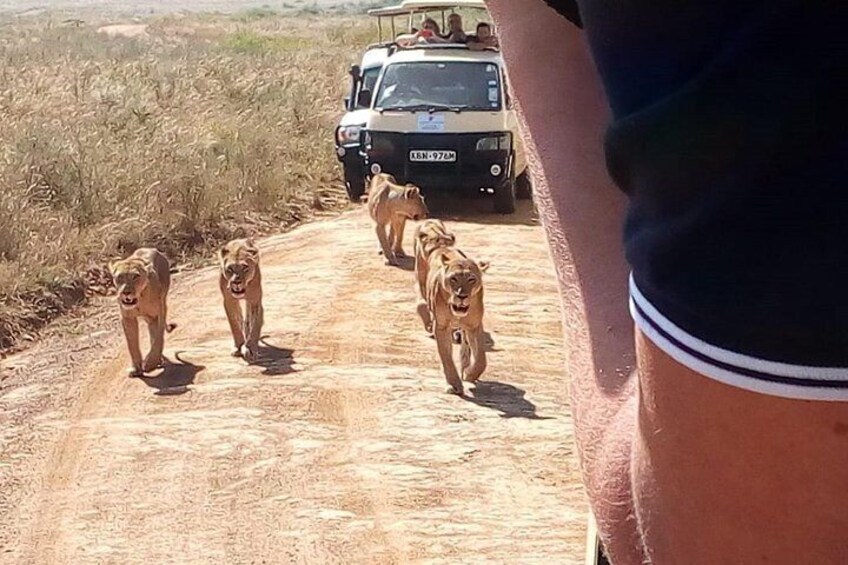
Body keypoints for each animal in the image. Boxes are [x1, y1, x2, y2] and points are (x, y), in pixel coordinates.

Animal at [109, 248, 177, 376]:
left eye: (135, 276)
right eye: (119, 277)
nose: (126, 292)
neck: (139, 300)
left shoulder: (159, 313)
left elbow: (158, 339)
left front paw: (150, 363)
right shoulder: (127, 318)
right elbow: (132, 344)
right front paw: (136, 369)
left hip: (162, 303)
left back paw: (157, 360)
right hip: (149, 318)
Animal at [424, 247, 490, 396]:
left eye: (471, 279)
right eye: (453, 278)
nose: (462, 296)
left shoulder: (474, 326)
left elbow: (481, 360)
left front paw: (469, 374)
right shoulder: (441, 327)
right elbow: (446, 357)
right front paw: (454, 385)